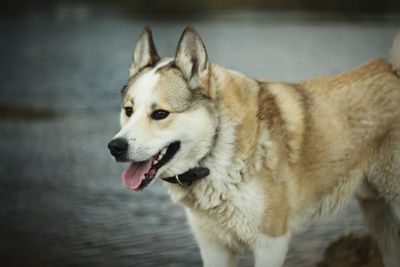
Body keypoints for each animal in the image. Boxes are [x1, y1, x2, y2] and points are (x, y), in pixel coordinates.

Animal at [107, 27, 400, 267]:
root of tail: (390, 69)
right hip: (377, 211)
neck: (217, 149)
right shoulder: (215, 247)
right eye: (128, 110)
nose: (114, 147)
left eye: (160, 114)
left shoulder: (271, 242)